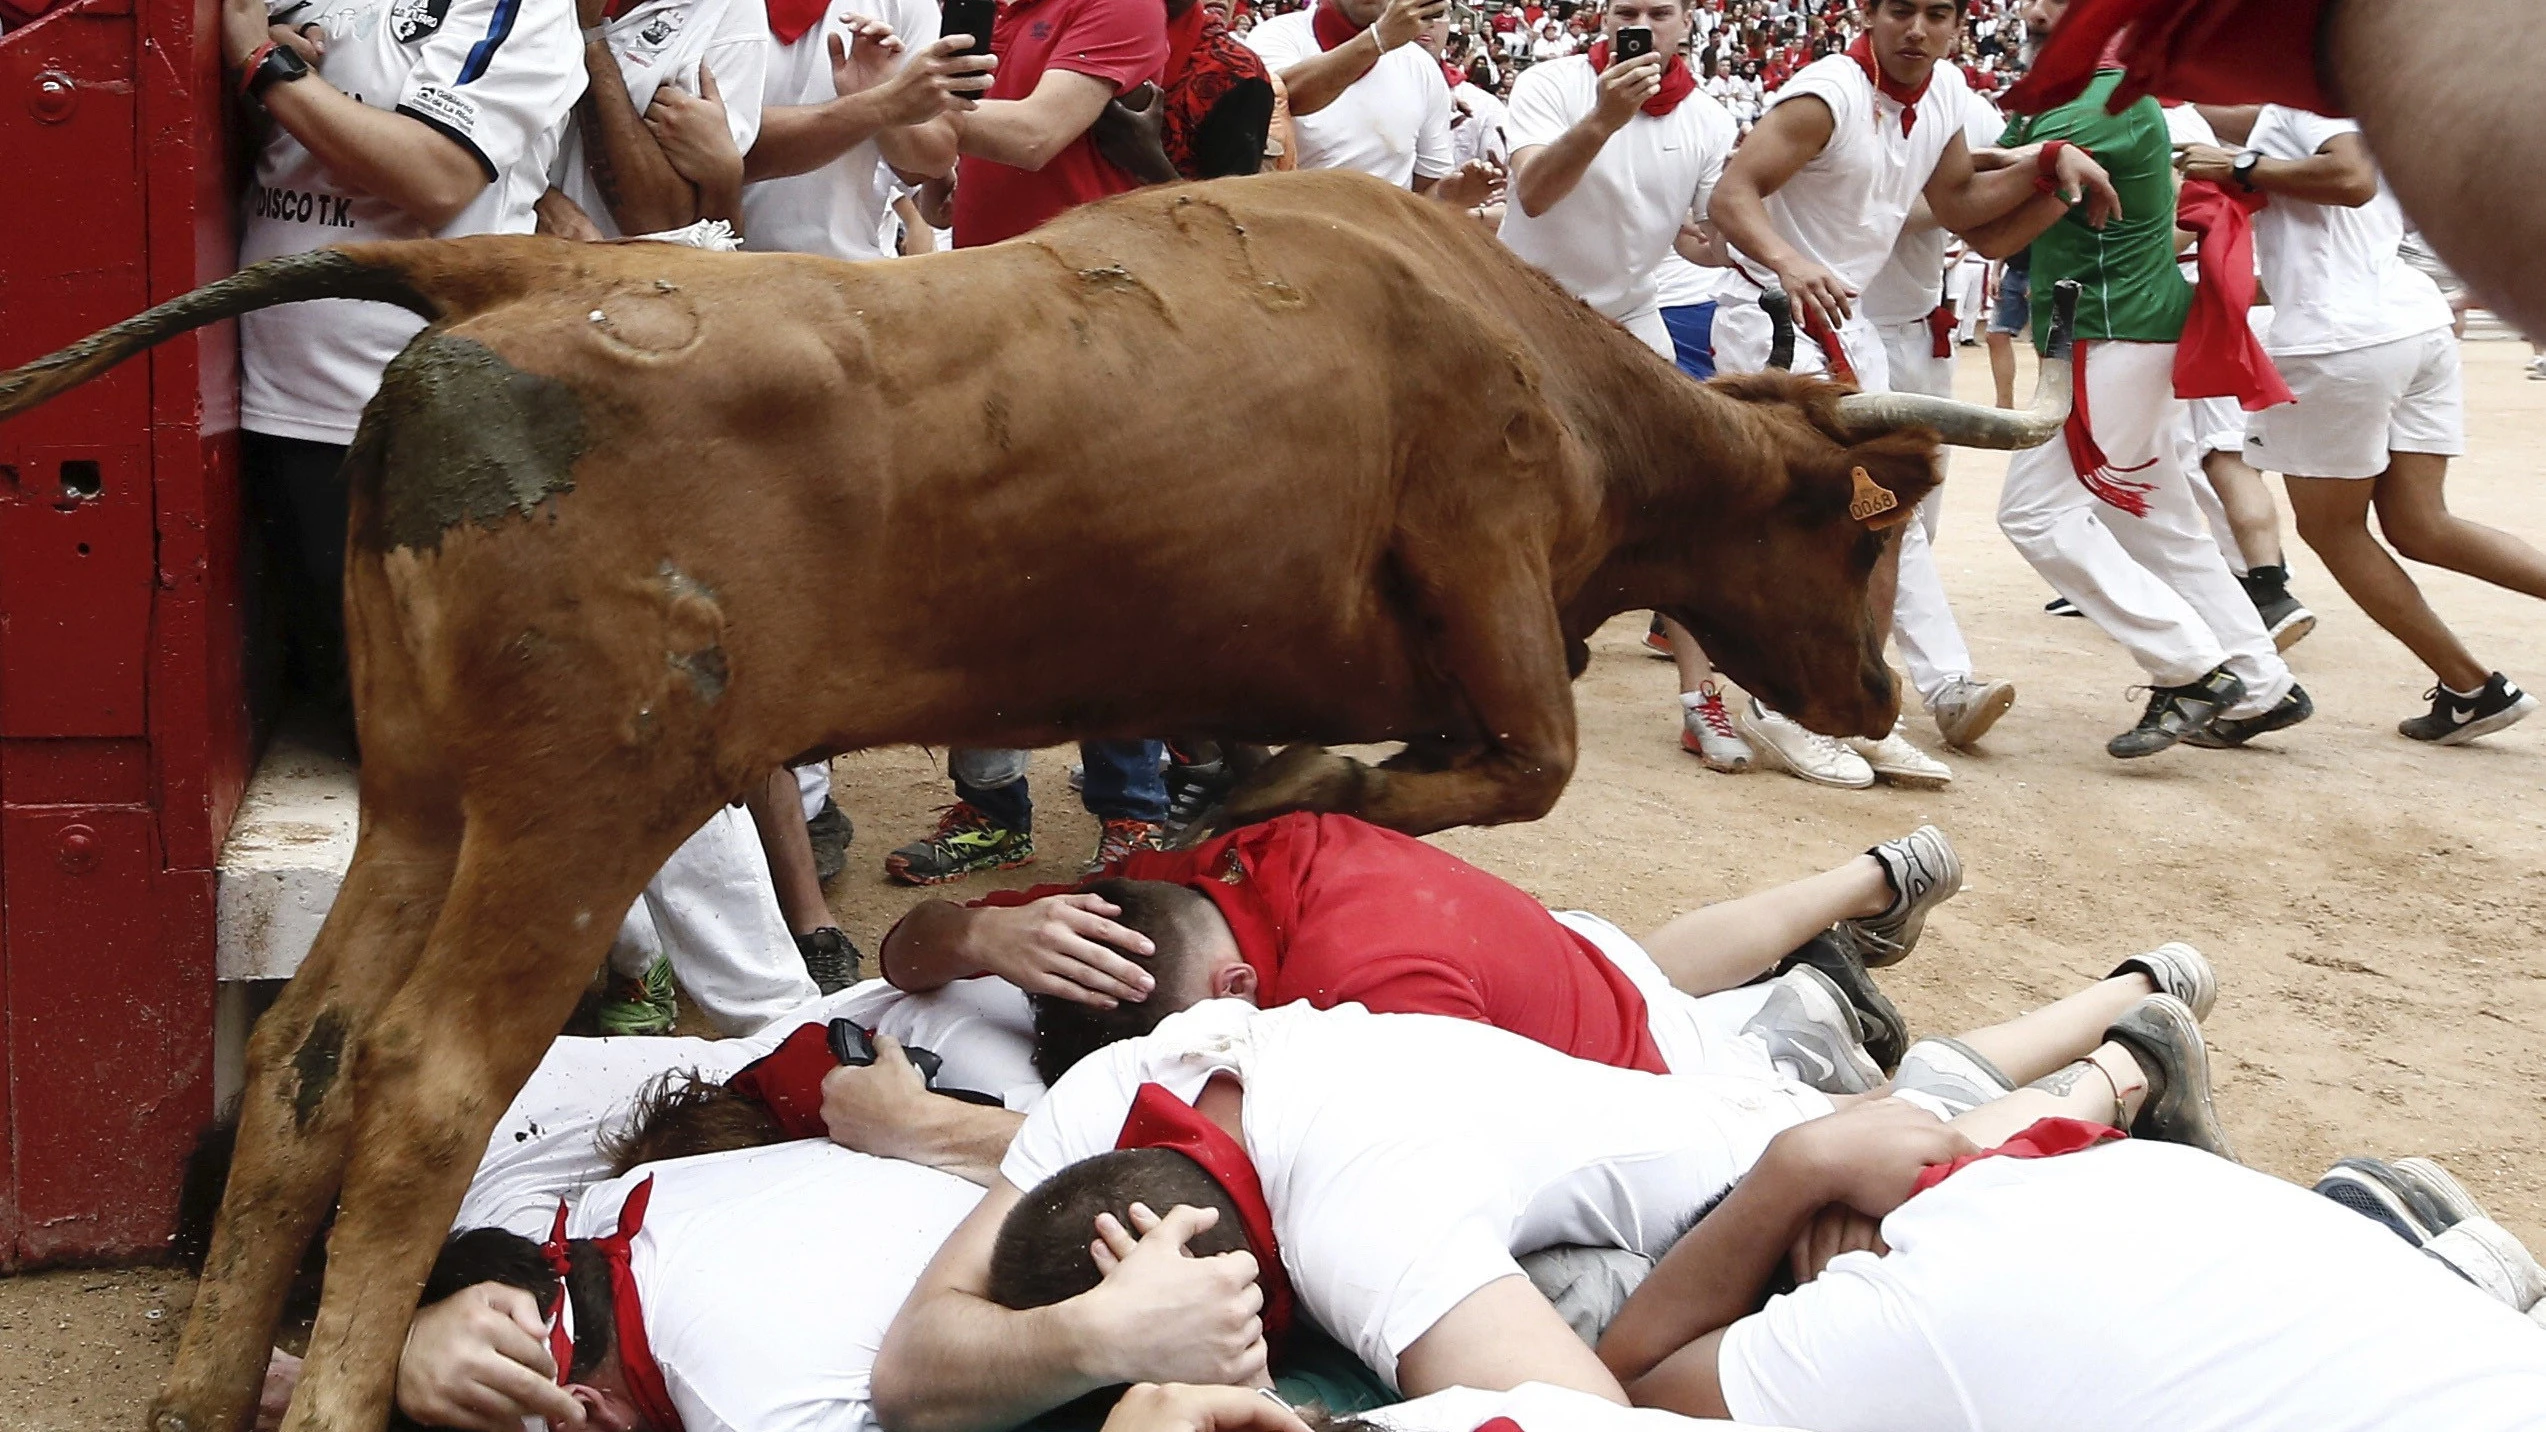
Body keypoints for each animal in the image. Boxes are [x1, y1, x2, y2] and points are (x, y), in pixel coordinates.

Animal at [0, 169, 2067, 1426]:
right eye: (1870, 529)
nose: (1877, 690)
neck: (1534, 362)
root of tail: (527, 266)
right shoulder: (1488, 597)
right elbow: (1495, 769)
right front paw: (1279, 809)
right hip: (582, 801)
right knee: (426, 1079)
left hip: (431, 797)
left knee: (308, 1054)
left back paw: (204, 1385)